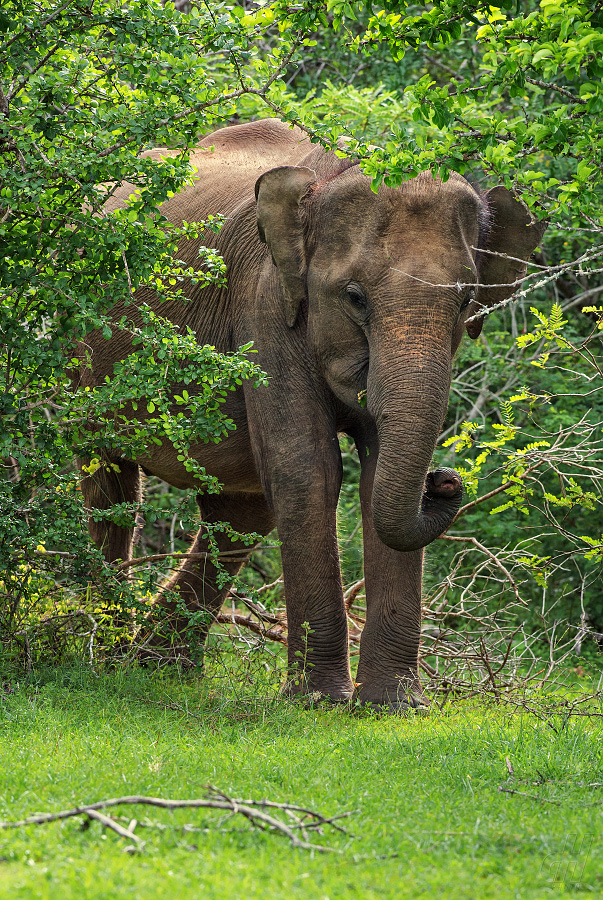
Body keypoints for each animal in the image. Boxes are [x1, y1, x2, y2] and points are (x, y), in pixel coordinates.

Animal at [80, 118, 548, 712]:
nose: (444, 480)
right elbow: (308, 471)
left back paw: (155, 666)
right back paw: (96, 651)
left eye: (466, 300)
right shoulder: (264, 307)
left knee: (237, 512)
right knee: (109, 482)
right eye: (354, 297)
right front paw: (319, 701)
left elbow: (372, 478)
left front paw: (392, 705)